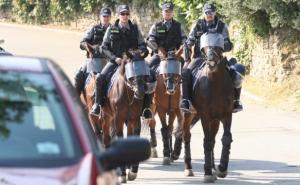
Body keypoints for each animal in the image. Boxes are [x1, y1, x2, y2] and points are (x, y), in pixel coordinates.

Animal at [182, 33, 236, 182]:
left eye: (218, 46)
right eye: (205, 47)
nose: (211, 59)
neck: (214, 83)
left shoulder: (226, 115)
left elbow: (226, 138)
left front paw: (221, 168)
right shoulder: (205, 117)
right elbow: (206, 141)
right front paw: (207, 173)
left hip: (215, 120)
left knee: (213, 139)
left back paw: (212, 168)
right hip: (188, 114)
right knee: (186, 135)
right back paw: (189, 168)